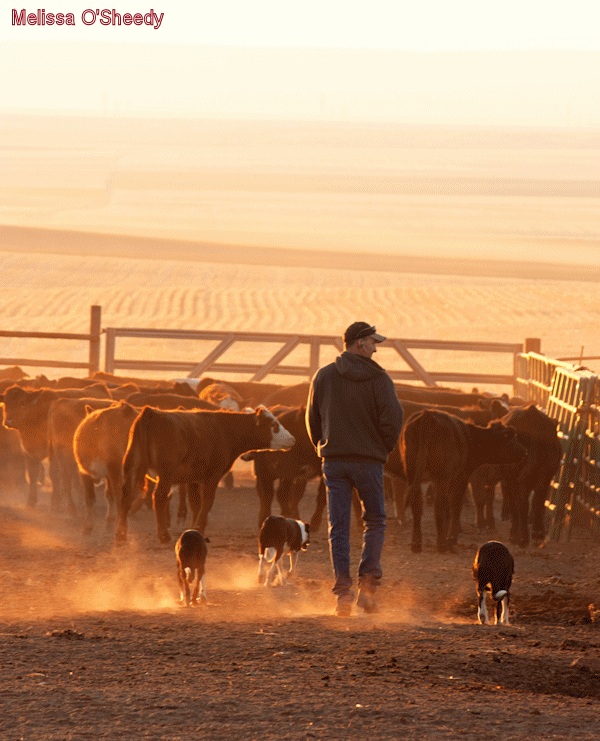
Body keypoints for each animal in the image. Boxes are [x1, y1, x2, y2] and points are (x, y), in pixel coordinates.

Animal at [121, 404, 296, 544]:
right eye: (274, 424)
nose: (293, 439)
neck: (224, 430)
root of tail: (151, 413)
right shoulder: (212, 476)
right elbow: (206, 502)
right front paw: (199, 529)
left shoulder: (193, 479)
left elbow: (195, 504)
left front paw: (193, 529)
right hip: (165, 475)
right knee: (159, 498)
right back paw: (164, 536)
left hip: (132, 467)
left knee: (126, 497)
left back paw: (120, 535)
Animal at [404, 410, 524, 556]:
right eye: (511, 438)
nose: (525, 451)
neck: (470, 438)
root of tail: (427, 415)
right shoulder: (463, 478)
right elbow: (457, 506)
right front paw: (453, 538)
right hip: (442, 479)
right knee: (440, 506)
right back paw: (442, 545)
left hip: (413, 474)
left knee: (417, 504)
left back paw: (416, 544)